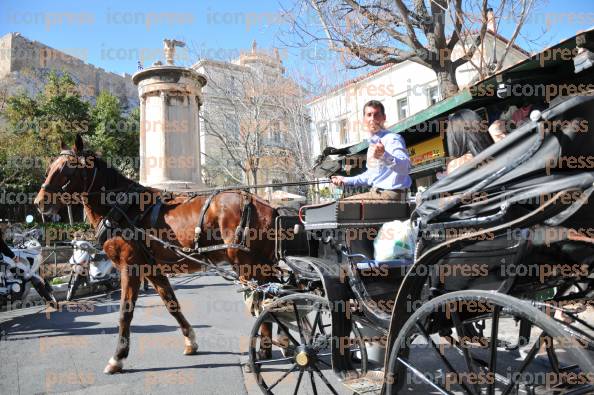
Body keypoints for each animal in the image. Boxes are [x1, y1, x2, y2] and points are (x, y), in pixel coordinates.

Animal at [33, 136, 278, 374]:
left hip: (247, 266)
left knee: (263, 299)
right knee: (271, 297)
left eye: (66, 170)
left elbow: (125, 312)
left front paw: (118, 357)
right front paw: (190, 341)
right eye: (49, 168)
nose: (39, 202)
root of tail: (266, 205)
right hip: (262, 265)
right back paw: (270, 348)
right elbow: (171, 304)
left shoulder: (130, 267)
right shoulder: (152, 269)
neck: (122, 208)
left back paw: (262, 353)